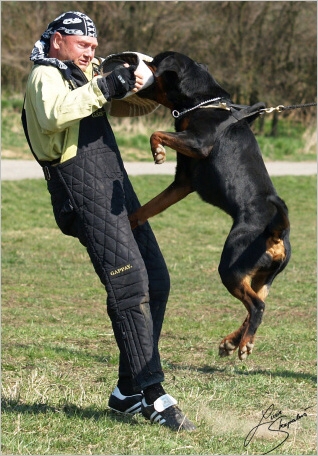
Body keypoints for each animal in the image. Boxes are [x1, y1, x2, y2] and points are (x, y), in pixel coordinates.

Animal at [130, 50, 290, 360]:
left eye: (154, 61)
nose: (137, 65)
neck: (203, 102)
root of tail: (275, 233)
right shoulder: (183, 182)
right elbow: (149, 207)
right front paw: (131, 220)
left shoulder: (198, 144)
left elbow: (157, 132)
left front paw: (157, 152)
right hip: (262, 278)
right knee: (254, 306)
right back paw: (232, 341)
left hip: (231, 268)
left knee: (257, 307)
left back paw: (243, 344)